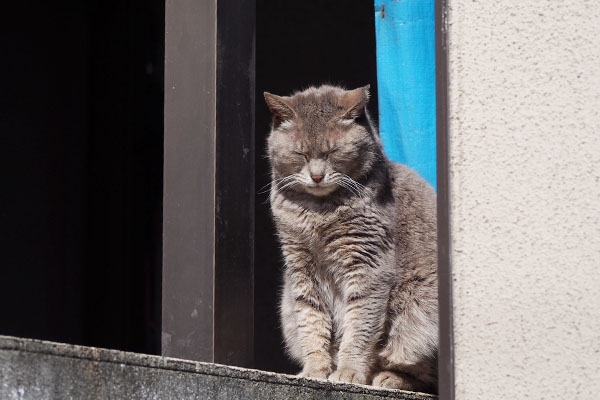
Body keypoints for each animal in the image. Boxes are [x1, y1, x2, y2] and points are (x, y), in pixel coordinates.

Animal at [264, 85, 438, 394]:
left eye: (333, 151)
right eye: (300, 153)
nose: (317, 175)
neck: (318, 213)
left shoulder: (368, 267)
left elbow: (359, 327)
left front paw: (348, 371)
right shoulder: (300, 269)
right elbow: (311, 322)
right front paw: (315, 370)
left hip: (420, 311)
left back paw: (388, 378)